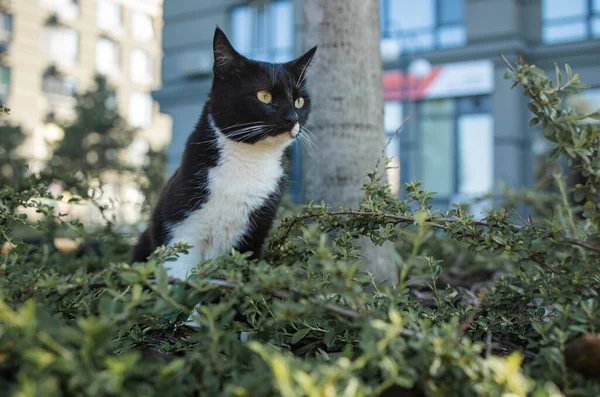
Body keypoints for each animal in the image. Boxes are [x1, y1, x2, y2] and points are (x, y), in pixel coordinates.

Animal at [131, 27, 318, 282]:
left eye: (299, 101)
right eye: (264, 96)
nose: (292, 118)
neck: (249, 160)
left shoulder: (253, 237)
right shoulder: (178, 232)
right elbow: (178, 279)